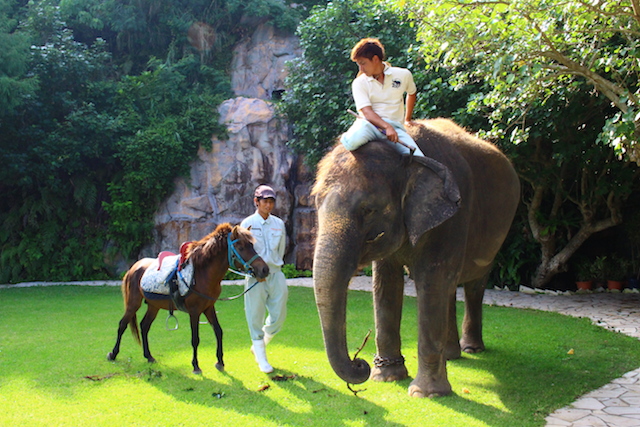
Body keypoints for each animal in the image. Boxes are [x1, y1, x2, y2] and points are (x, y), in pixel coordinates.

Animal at [107, 224, 268, 374]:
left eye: (252, 245)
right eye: (240, 247)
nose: (264, 269)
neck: (202, 273)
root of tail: (135, 266)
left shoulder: (209, 307)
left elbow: (218, 331)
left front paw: (220, 362)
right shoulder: (194, 311)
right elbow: (195, 339)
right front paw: (196, 366)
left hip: (154, 306)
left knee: (144, 326)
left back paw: (149, 356)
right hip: (133, 303)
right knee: (122, 324)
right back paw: (113, 354)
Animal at [310, 117, 520, 398]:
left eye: (368, 210)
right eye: (315, 202)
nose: (360, 363)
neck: (405, 157)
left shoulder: (451, 216)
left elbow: (431, 281)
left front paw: (426, 394)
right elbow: (386, 285)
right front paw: (386, 377)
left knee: (473, 283)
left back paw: (471, 349)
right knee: (450, 287)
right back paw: (452, 355)